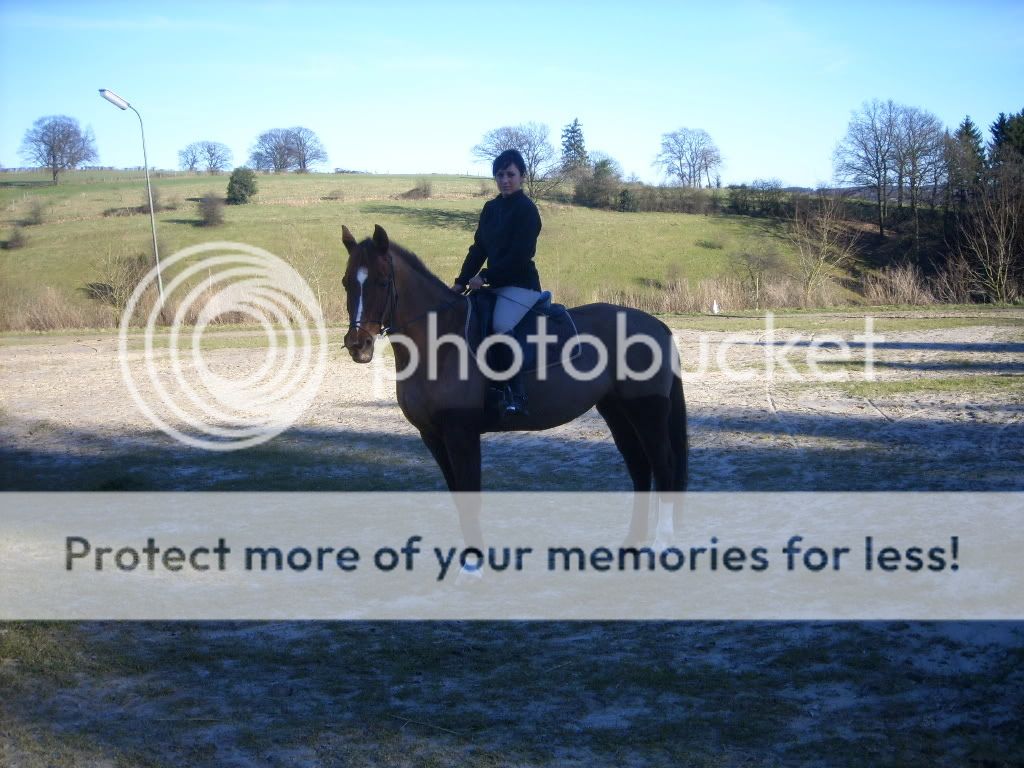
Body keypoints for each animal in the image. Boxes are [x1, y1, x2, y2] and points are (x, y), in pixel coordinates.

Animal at [344, 225, 688, 548]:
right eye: (347, 281)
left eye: (382, 282)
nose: (357, 345)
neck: (438, 344)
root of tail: (655, 324)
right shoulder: (432, 436)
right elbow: (458, 497)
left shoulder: (461, 433)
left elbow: (470, 499)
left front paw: (474, 565)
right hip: (616, 410)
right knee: (640, 466)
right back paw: (632, 543)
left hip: (647, 411)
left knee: (664, 465)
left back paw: (661, 543)